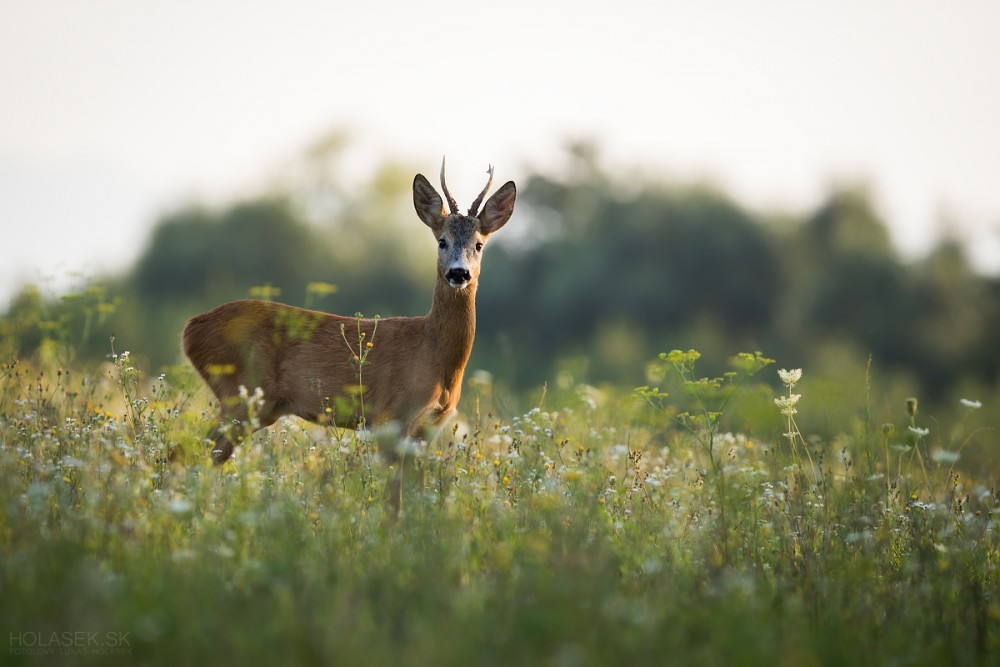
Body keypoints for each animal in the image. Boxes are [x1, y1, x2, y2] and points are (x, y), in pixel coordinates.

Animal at [180, 161, 516, 464]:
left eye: (479, 245)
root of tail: (190, 328)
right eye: (442, 241)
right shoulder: (392, 416)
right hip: (243, 395)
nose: (459, 273)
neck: (434, 354)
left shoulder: (428, 428)